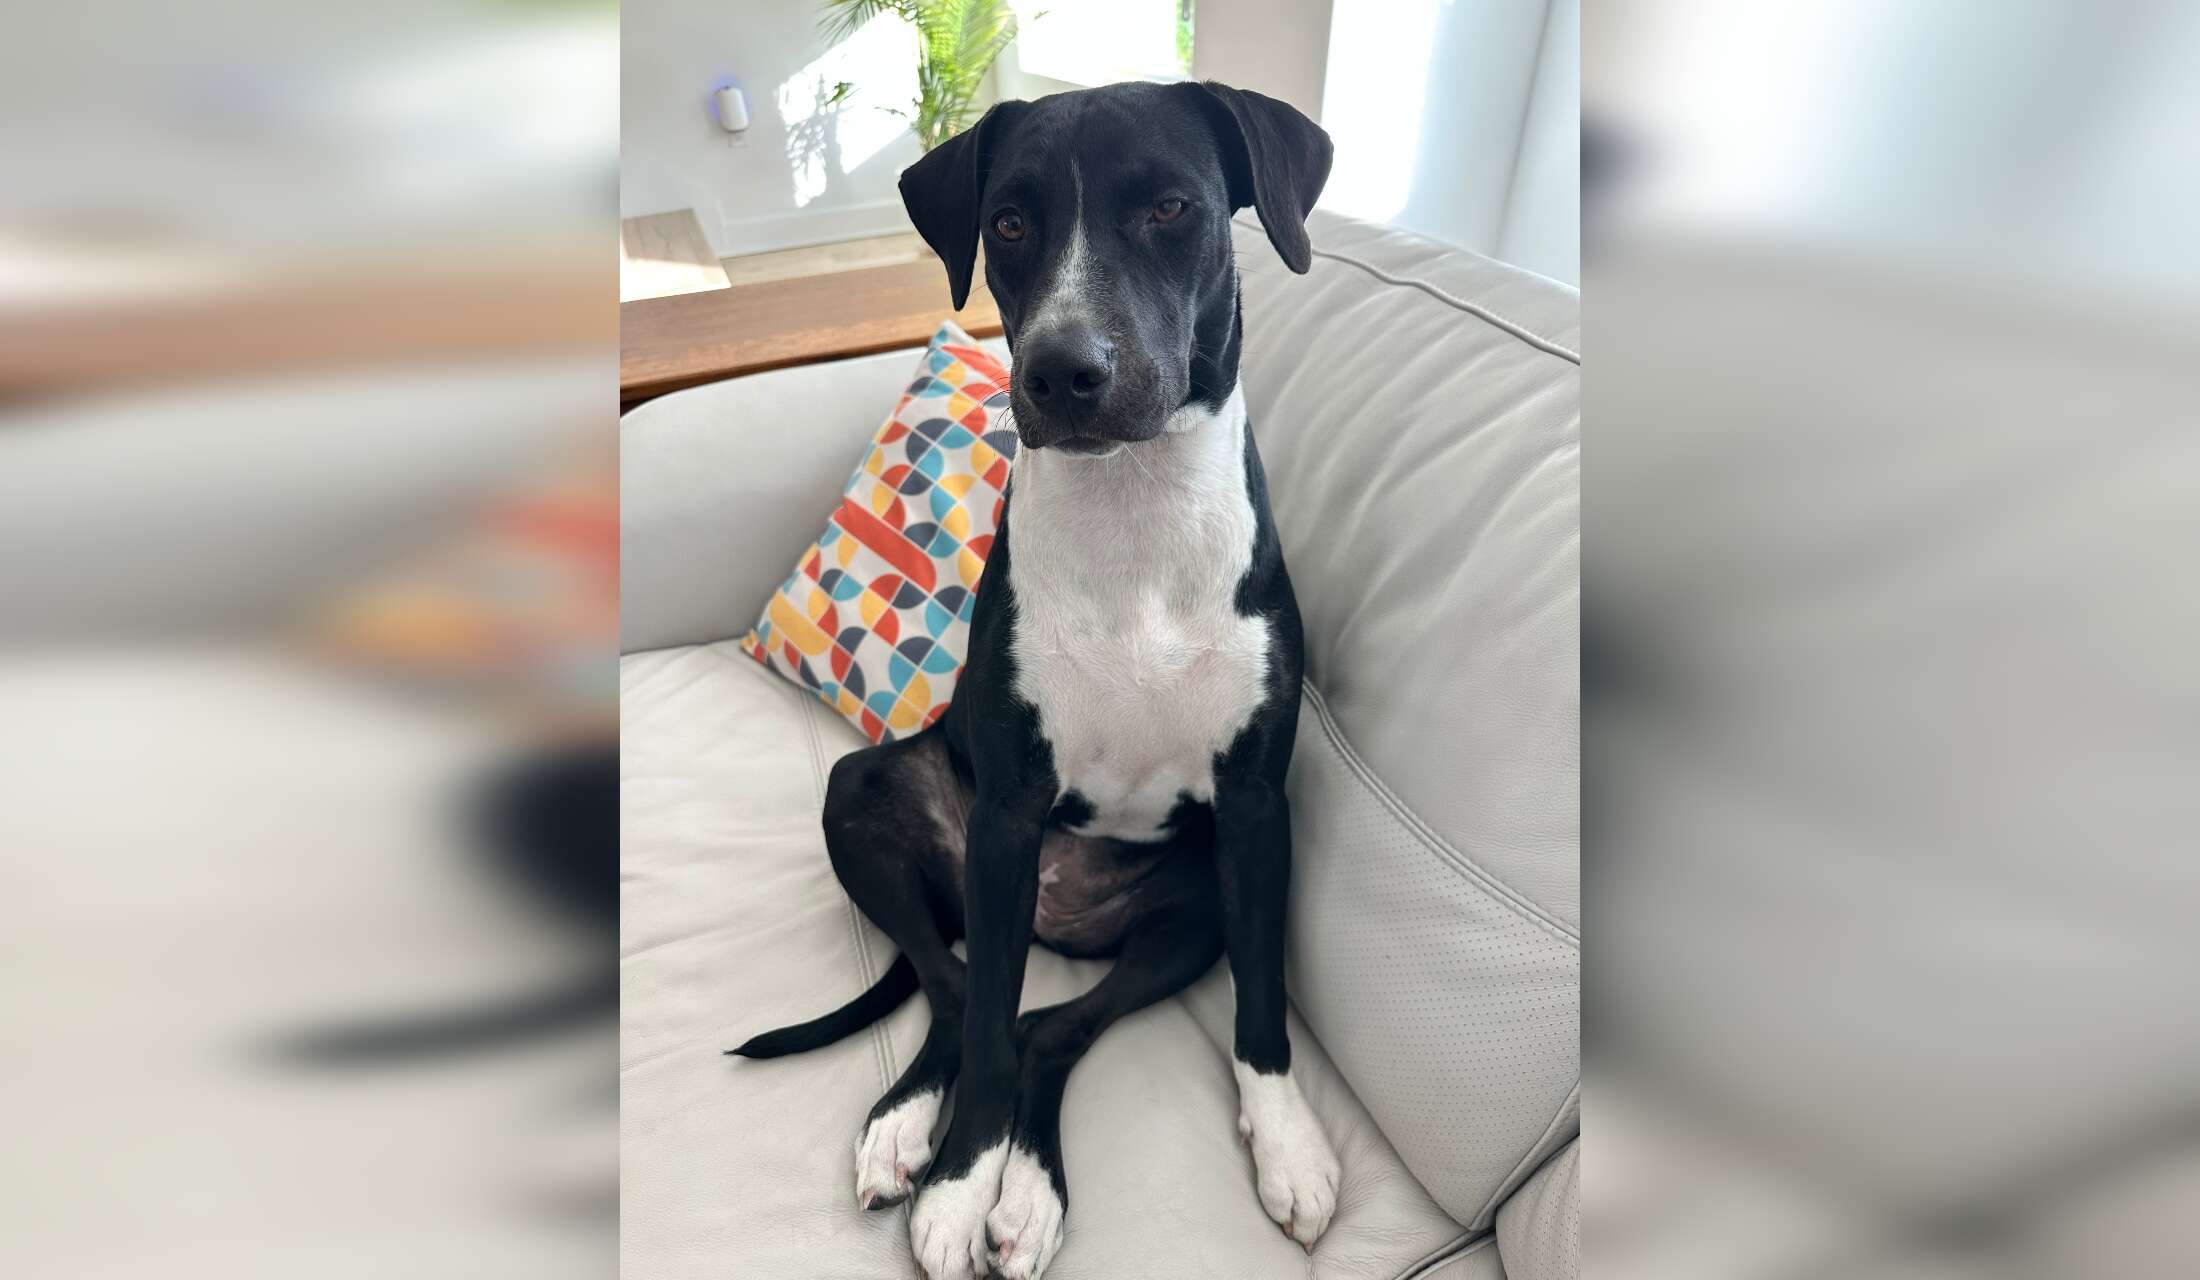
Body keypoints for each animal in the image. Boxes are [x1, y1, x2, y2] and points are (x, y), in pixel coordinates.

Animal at [730, 80, 1339, 1280]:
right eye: (1008, 222)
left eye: (1171, 206)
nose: (1062, 369)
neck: (1134, 511)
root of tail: (1062, 907)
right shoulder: (1008, 820)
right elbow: (981, 1010)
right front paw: (961, 1185)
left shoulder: (1255, 813)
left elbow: (1261, 995)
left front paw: (1289, 1141)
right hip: (878, 802)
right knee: (966, 993)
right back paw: (910, 1130)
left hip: (1187, 907)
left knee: (1044, 1023)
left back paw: (1032, 1193)